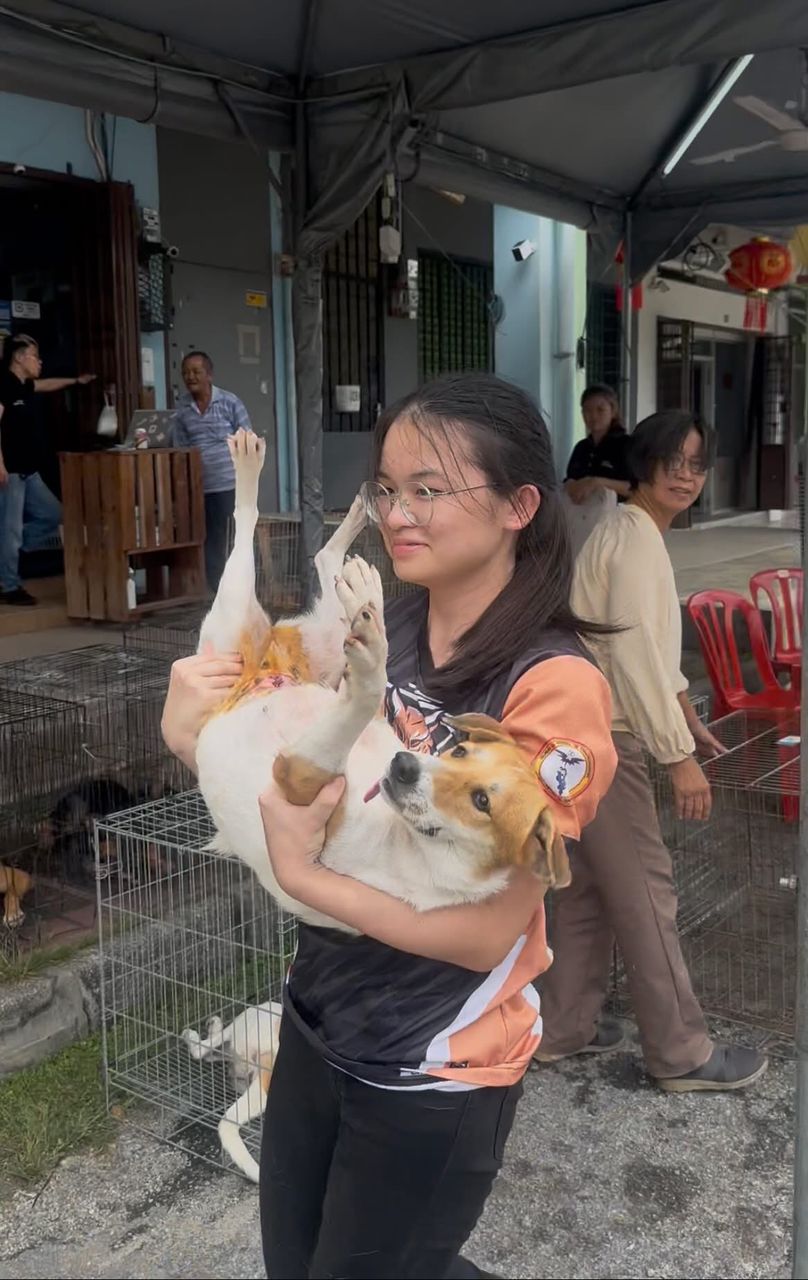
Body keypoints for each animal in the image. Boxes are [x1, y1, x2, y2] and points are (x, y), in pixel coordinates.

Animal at [192, 430, 570, 934]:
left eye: (482, 802)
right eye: (459, 751)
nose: (403, 765)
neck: (405, 840)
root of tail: (264, 669)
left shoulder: (296, 775)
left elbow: (369, 687)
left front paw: (373, 656)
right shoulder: (355, 715)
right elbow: (368, 692)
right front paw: (374, 630)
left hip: (230, 617)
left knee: (245, 523)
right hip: (325, 643)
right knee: (323, 558)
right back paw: (361, 549)